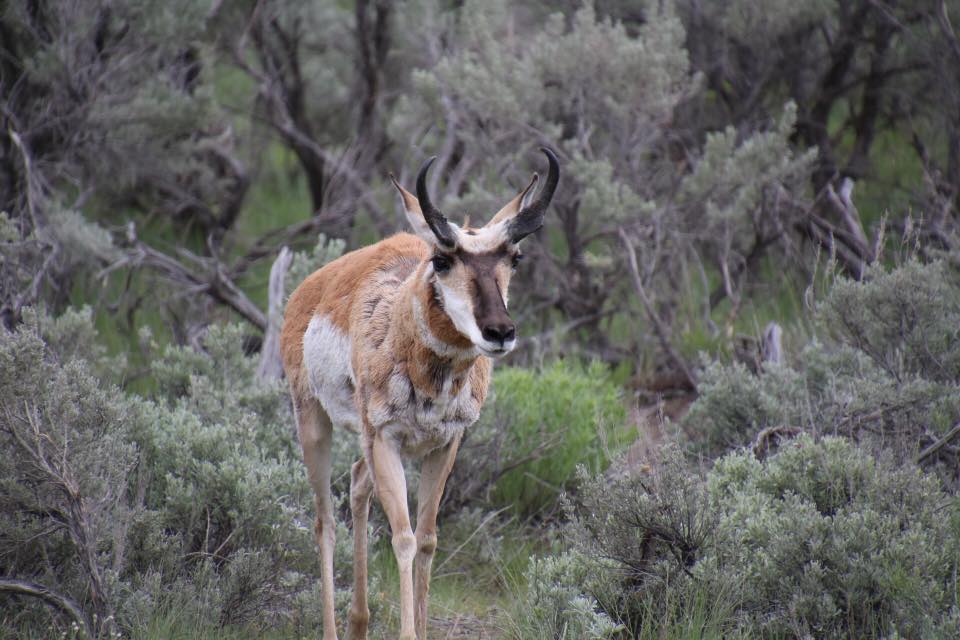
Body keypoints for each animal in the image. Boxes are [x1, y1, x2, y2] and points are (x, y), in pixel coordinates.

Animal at [282, 148, 560, 636]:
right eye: (442, 260)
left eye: (515, 257)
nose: (500, 332)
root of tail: (309, 288)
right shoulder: (387, 441)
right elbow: (404, 538)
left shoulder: (445, 445)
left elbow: (428, 538)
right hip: (314, 424)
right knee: (324, 522)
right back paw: (335, 627)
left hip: (364, 444)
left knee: (357, 482)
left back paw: (360, 622)